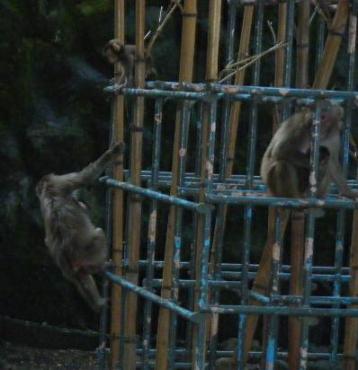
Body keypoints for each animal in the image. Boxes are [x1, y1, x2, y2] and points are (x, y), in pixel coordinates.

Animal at [36, 143, 125, 310]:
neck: (47, 189)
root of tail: (68, 257)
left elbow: (47, 240)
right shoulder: (60, 181)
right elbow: (86, 177)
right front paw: (115, 151)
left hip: (70, 266)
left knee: (81, 276)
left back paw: (97, 303)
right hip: (89, 253)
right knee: (99, 234)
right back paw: (101, 267)